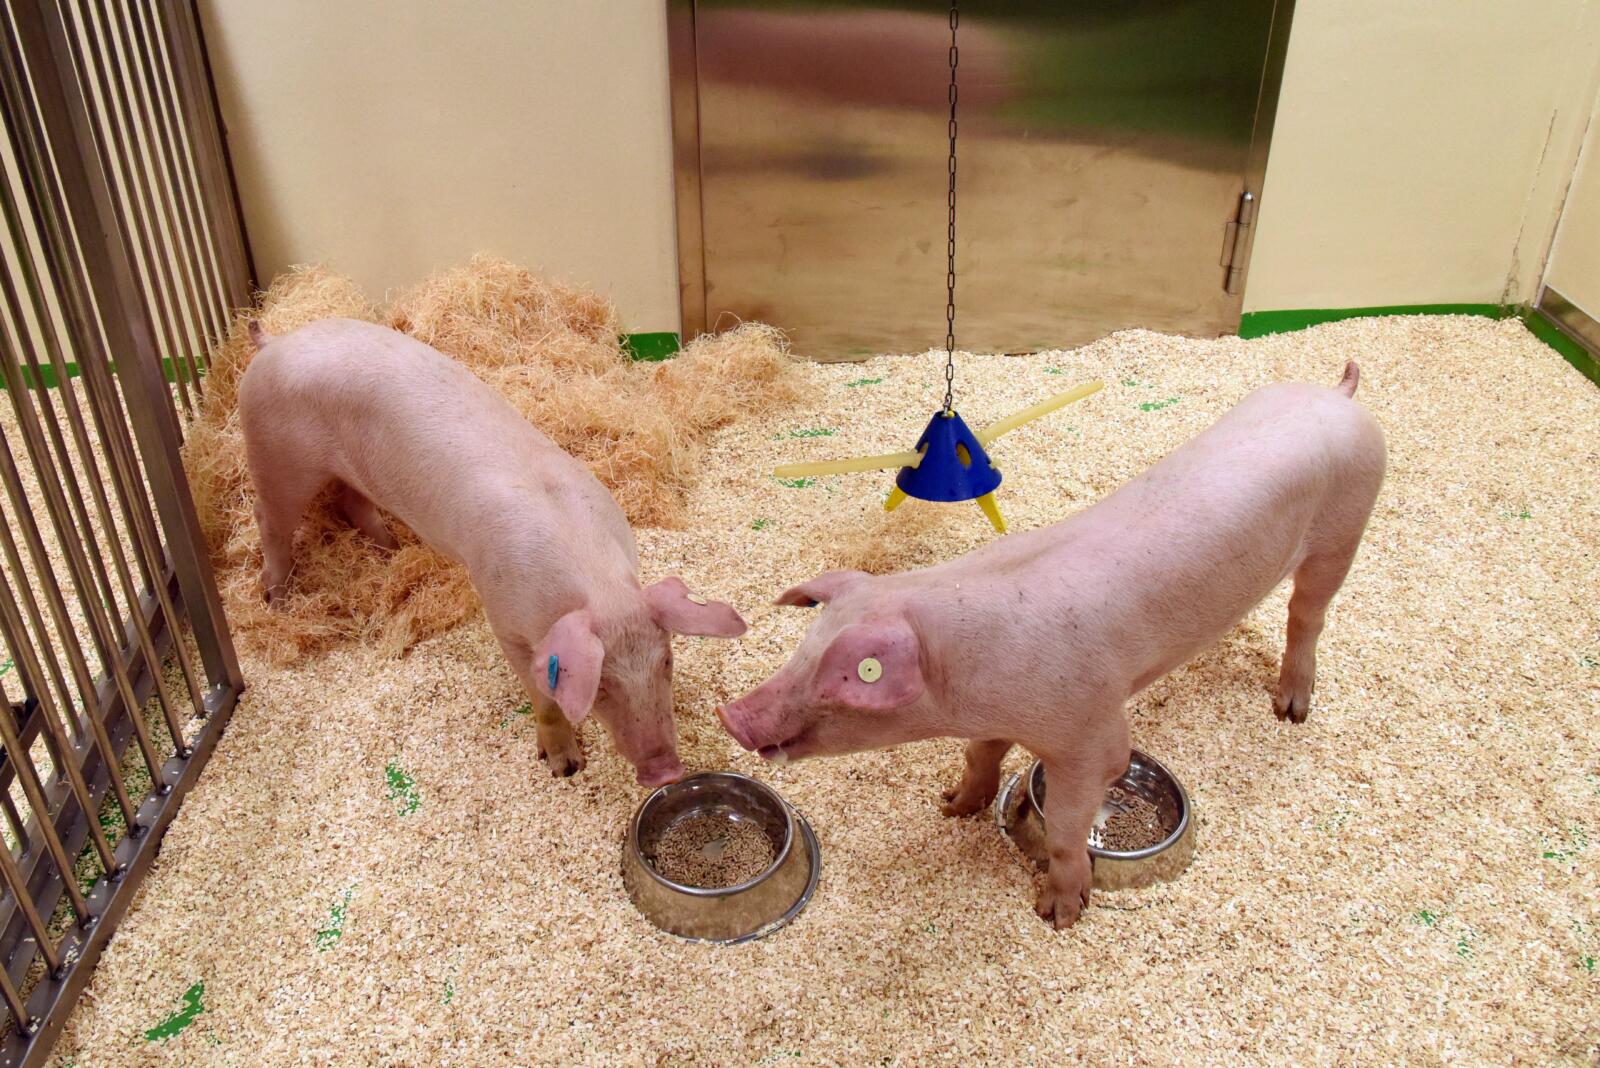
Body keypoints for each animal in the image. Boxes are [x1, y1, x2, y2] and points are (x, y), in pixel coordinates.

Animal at [236, 318, 747, 787]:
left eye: (667, 662)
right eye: (601, 684)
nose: (666, 771)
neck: (596, 585)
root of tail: (273, 343)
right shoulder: (505, 620)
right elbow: (542, 699)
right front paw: (566, 768)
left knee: (349, 501)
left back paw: (390, 552)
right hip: (276, 459)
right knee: (269, 519)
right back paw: (277, 600)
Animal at [719, 363, 1384, 927]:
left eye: (852, 676)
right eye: (805, 647)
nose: (734, 715)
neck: (968, 677)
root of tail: (1339, 395)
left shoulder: (1091, 732)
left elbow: (1070, 822)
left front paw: (1058, 914)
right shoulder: (996, 717)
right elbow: (980, 757)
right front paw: (952, 805)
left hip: (1346, 528)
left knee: (1308, 615)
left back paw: (1291, 710)